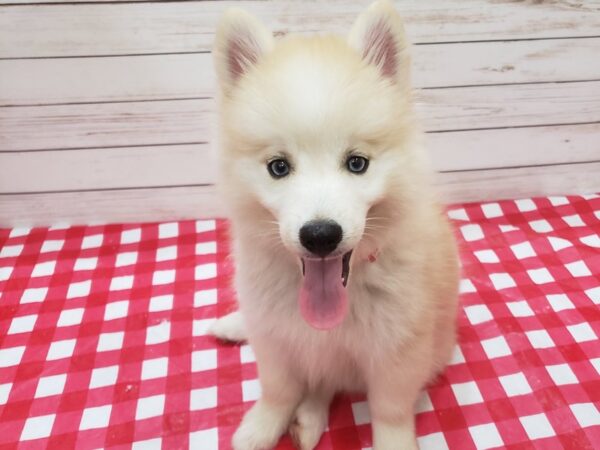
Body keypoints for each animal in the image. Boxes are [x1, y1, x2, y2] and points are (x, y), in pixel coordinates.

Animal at [210, 1, 460, 448]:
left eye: (357, 163)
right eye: (278, 167)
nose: (321, 235)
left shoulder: (398, 354)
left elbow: (389, 411)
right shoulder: (274, 342)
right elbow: (277, 389)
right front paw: (261, 427)